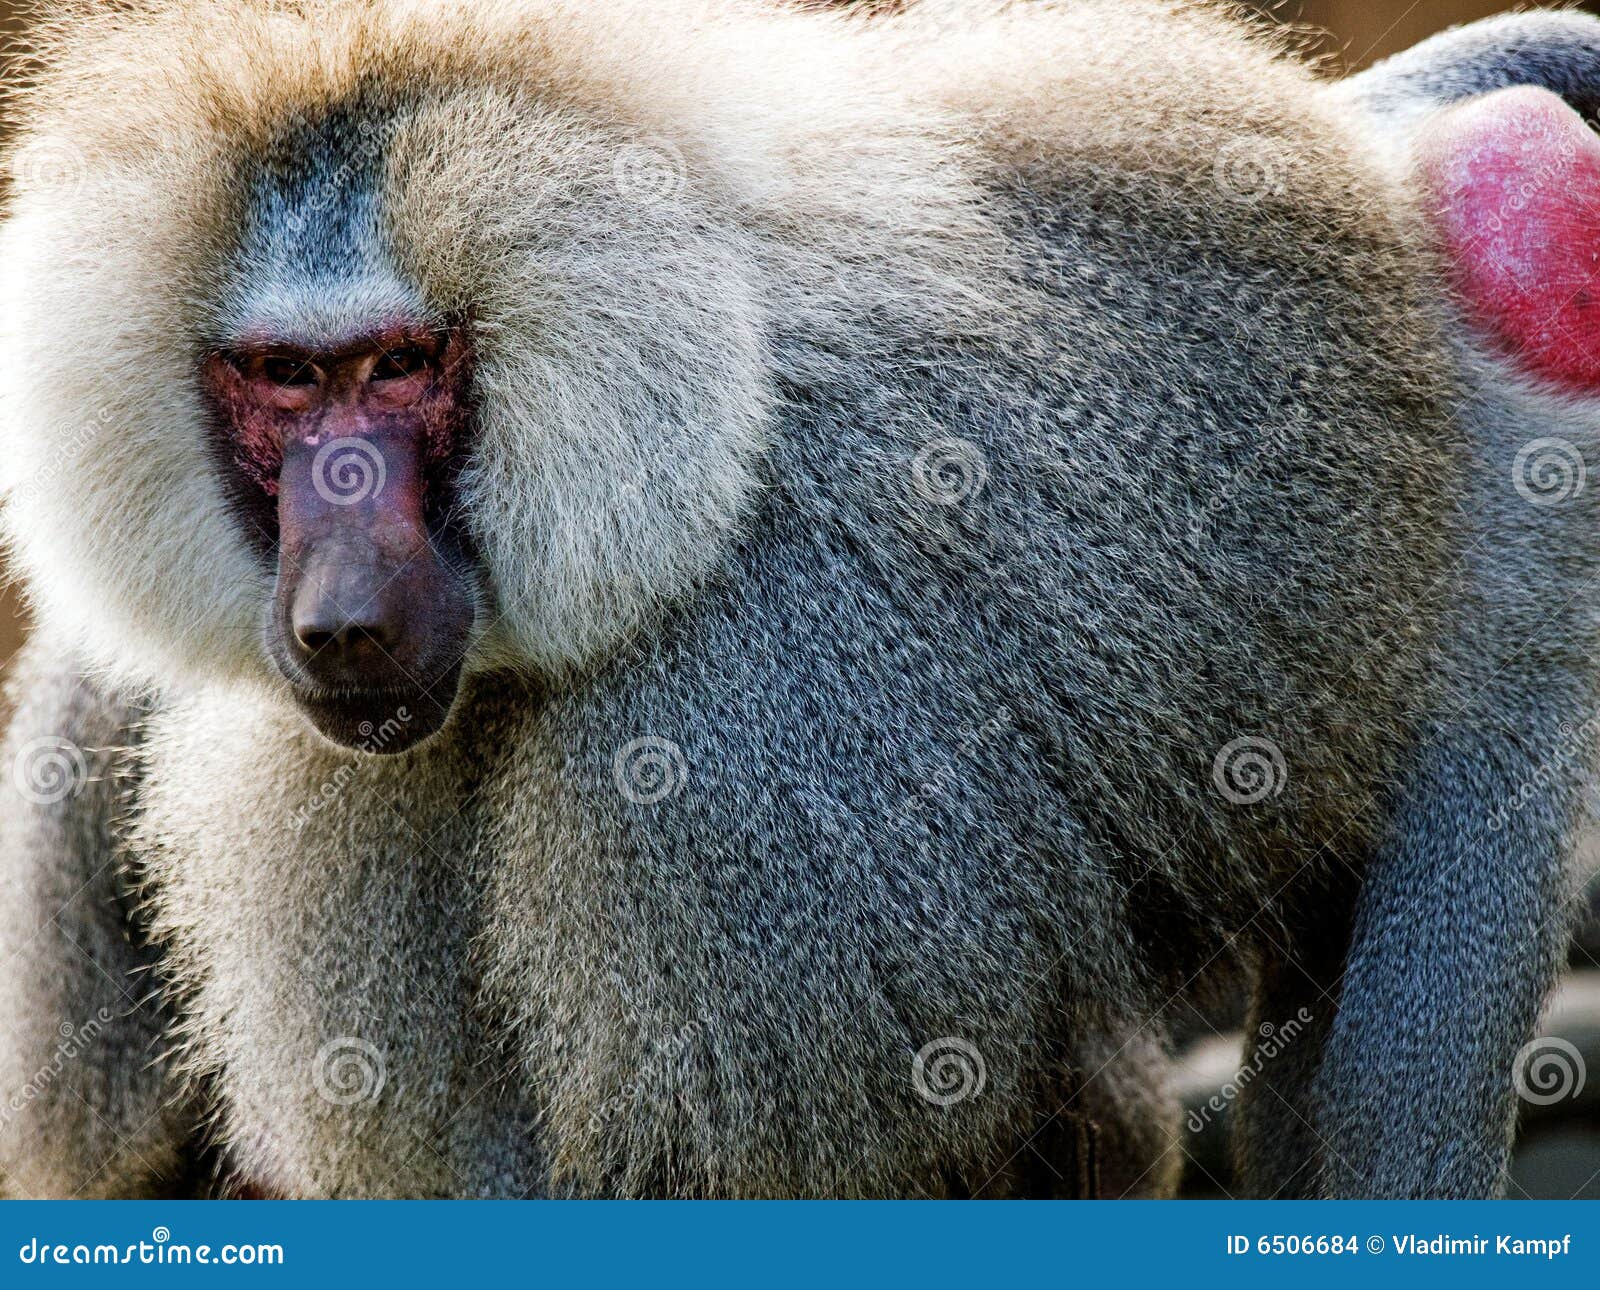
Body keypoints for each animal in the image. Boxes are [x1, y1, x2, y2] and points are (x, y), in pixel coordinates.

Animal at [1, 0, 1599, 1199]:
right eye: (284, 378)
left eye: (397, 367)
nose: (335, 619)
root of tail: (1370, 159)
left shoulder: (744, 753)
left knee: (1386, 1099)